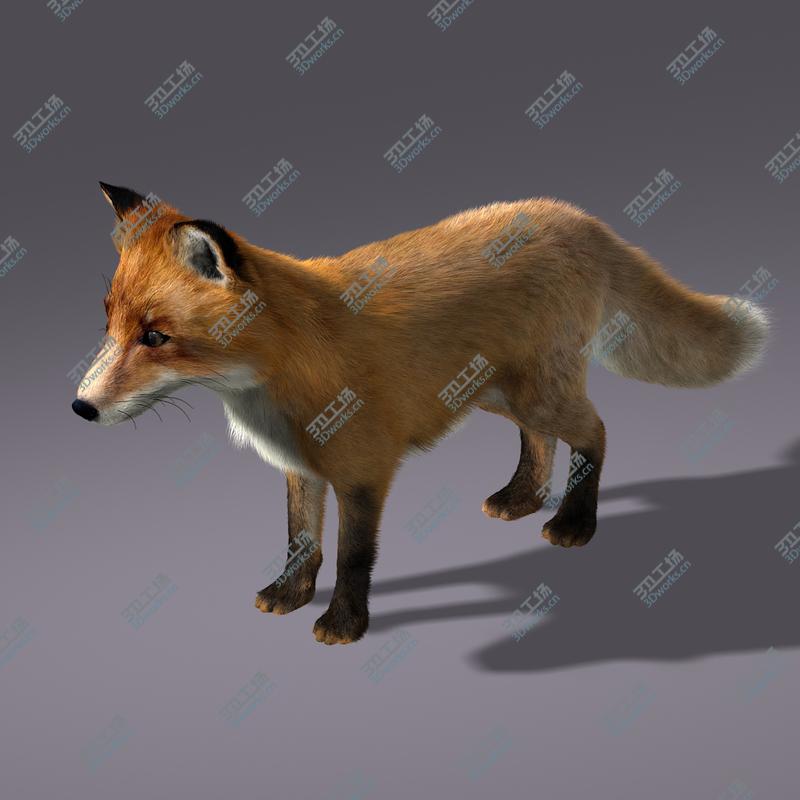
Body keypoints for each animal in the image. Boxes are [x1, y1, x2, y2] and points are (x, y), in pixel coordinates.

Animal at [72, 182, 769, 644]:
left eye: (156, 337)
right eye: (108, 324)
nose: (80, 407)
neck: (281, 366)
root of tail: (570, 213)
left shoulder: (363, 471)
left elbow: (352, 557)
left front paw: (343, 623)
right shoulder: (300, 466)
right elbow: (301, 541)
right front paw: (291, 596)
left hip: (536, 392)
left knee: (595, 432)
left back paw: (575, 521)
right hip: (497, 391)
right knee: (539, 442)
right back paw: (523, 498)